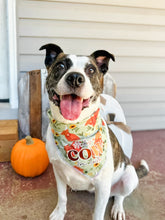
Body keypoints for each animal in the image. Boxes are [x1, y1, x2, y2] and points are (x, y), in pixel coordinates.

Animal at [40, 44, 150, 220]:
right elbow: (62, 197)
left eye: (91, 69)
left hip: (128, 178)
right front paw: (59, 213)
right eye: (61, 66)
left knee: (120, 196)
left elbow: (98, 213)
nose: (75, 78)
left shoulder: (103, 186)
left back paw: (118, 208)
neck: (73, 128)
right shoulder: (58, 172)